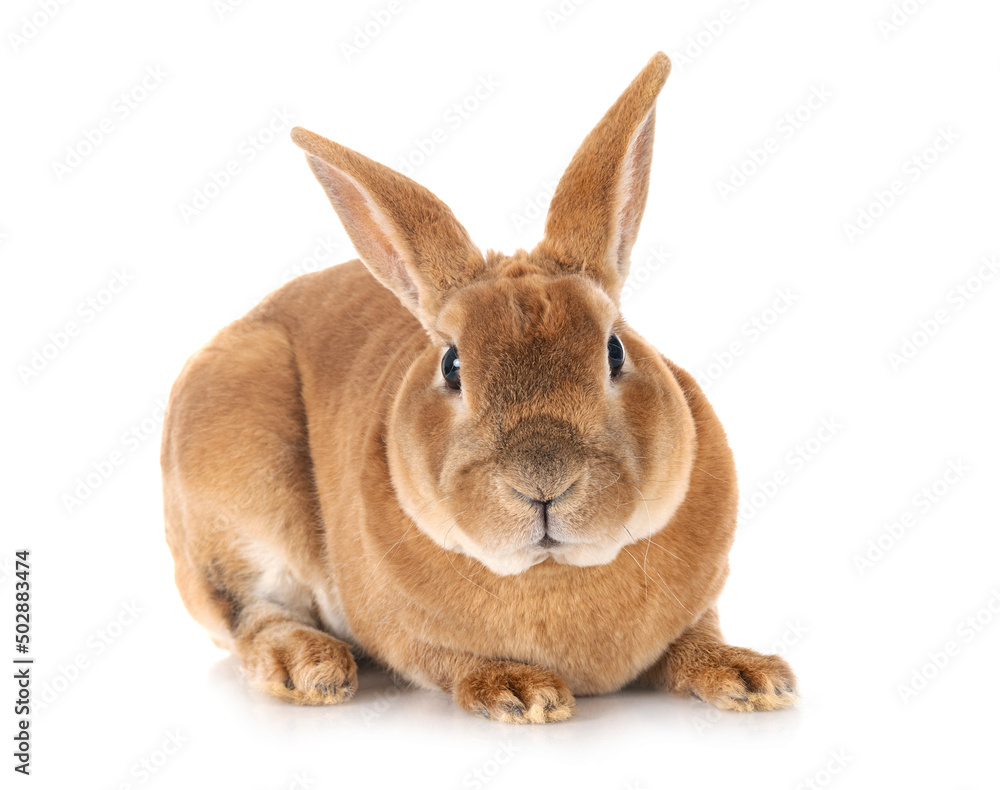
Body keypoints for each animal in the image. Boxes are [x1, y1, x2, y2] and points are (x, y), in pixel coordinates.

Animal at [161, 51, 797, 723]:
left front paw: (752, 678)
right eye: (451, 365)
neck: (552, 572)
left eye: (614, 349)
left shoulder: (698, 608)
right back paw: (311, 669)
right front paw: (522, 693)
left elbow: (696, 640)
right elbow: (450, 663)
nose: (543, 481)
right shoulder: (408, 636)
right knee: (252, 615)